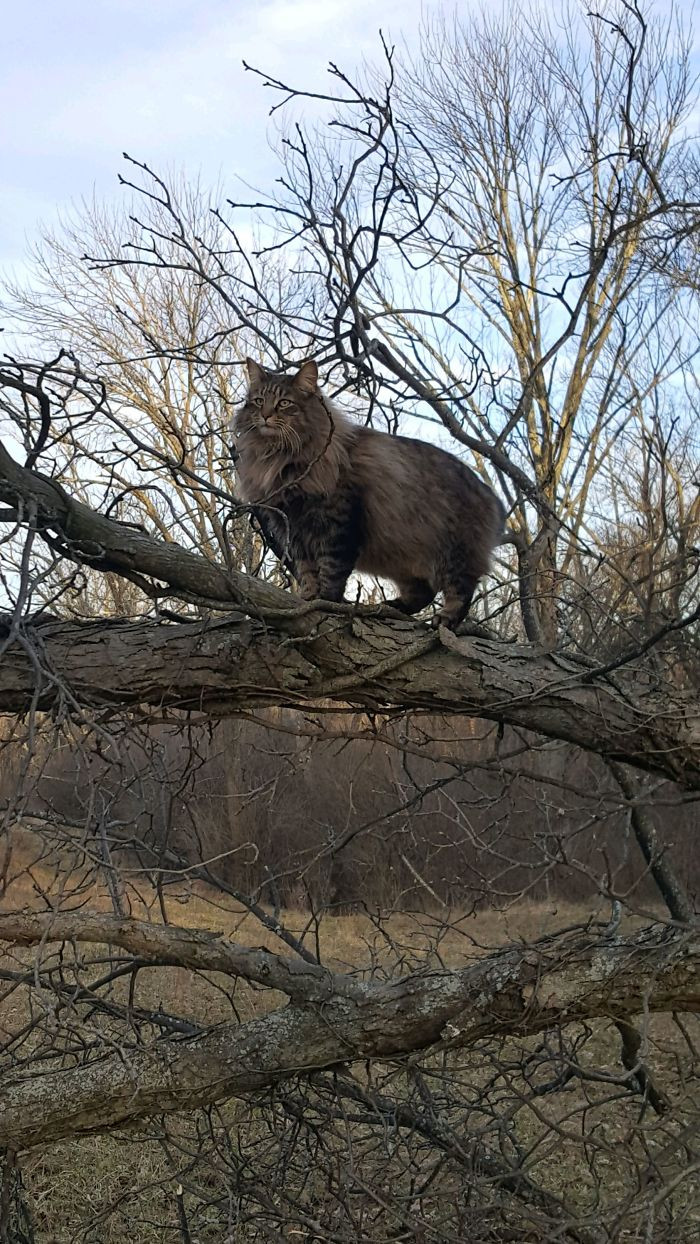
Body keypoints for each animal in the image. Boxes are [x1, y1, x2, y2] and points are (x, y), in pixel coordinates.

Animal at [232, 360, 507, 631]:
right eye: (258, 400)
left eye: (284, 403)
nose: (265, 415)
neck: (279, 458)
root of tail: (490, 494)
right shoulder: (294, 529)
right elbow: (307, 571)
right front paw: (307, 598)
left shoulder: (338, 525)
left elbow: (331, 571)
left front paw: (325, 602)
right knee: (423, 592)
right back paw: (393, 606)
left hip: (454, 551)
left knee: (461, 590)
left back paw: (445, 619)